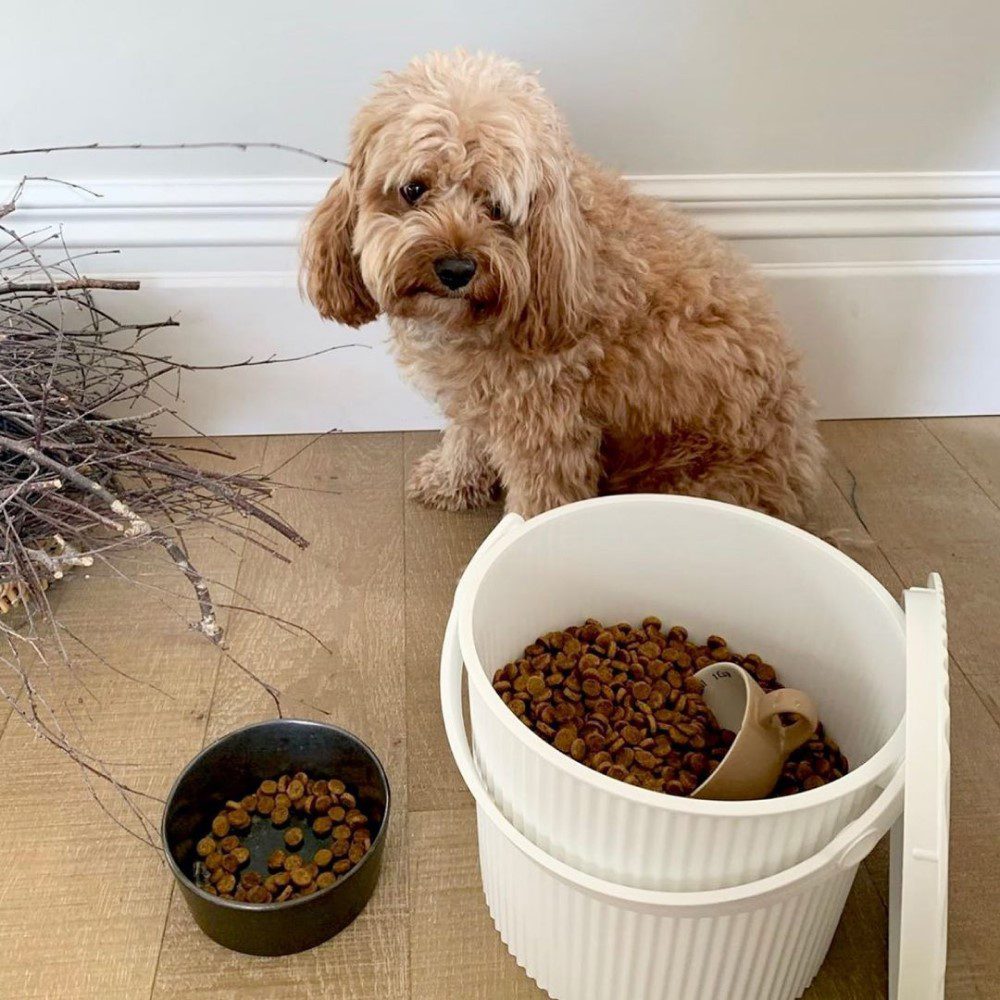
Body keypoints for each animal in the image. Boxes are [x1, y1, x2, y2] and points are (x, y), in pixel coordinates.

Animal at [300, 51, 824, 524]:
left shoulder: (546, 424)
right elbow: (466, 434)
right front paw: (452, 481)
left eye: (495, 205)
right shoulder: (478, 393)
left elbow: (540, 499)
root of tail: (800, 463)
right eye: (413, 189)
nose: (456, 268)